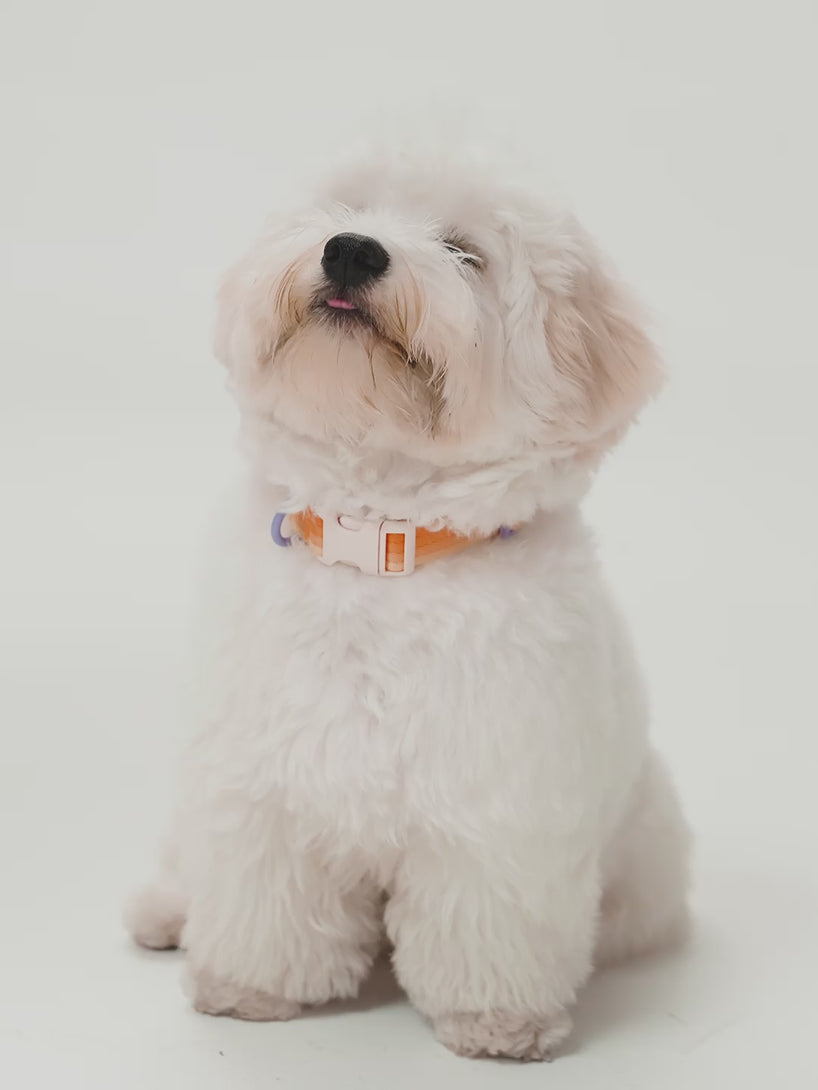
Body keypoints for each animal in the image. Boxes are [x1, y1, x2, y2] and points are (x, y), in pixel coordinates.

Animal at [125, 143, 691, 1061]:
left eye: (464, 251)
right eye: (350, 208)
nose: (353, 250)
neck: (380, 547)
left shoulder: (497, 809)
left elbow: (486, 924)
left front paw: (499, 1021)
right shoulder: (261, 785)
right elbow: (260, 904)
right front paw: (246, 988)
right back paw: (165, 911)